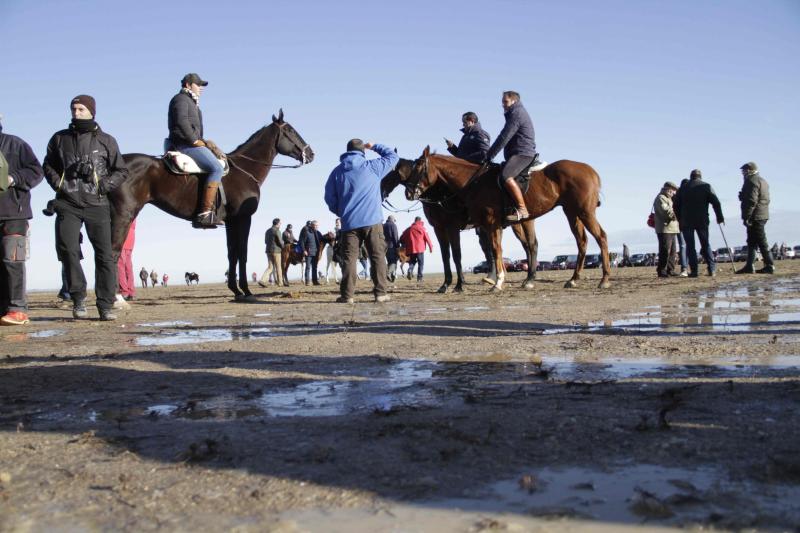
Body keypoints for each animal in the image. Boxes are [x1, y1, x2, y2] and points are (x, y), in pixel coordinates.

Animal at [108, 110, 314, 300]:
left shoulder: (231, 222)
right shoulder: (243, 219)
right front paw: (246, 290)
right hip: (124, 215)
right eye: (290, 130)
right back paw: (117, 297)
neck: (245, 170)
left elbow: (232, 253)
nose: (311, 153)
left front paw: (235, 289)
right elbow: (242, 253)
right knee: (113, 251)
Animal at [380, 158, 536, 290]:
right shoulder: (439, 229)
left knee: (525, 245)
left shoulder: (452, 228)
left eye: (390, 170)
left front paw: (460, 284)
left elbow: (456, 255)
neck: (437, 194)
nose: (381, 188)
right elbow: (445, 256)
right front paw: (446, 284)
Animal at [410, 148, 608, 290]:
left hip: (584, 213)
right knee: (581, 242)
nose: (410, 192)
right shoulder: (483, 226)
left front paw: (495, 282)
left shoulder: (485, 224)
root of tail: (590, 170)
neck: (474, 182)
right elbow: (492, 250)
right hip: (571, 213)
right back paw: (572, 279)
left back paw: (604, 279)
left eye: (419, 168)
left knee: (601, 237)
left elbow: (492, 250)